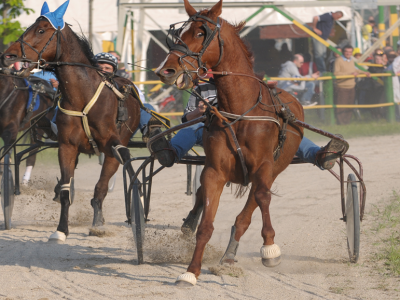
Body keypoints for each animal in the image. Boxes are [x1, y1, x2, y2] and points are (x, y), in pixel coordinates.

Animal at [0, 16, 141, 241]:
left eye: (41, 31)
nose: (8, 56)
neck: (82, 96)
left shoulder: (112, 146)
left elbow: (102, 186)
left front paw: (98, 224)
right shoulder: (67, 146)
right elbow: (66, 188)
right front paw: (61, 229)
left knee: (104, 184)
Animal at [155, 0, 304, 286]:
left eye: (200, 33)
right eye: (179, 34)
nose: (166, 70)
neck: (239, 111)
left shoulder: (264, 167)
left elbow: (261, 199)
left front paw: (270, 248)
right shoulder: (215, 170)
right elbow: (206, 224)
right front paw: (191, 271)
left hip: (276, 168)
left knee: (252, 205)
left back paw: (233, 253)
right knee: (201, 198)